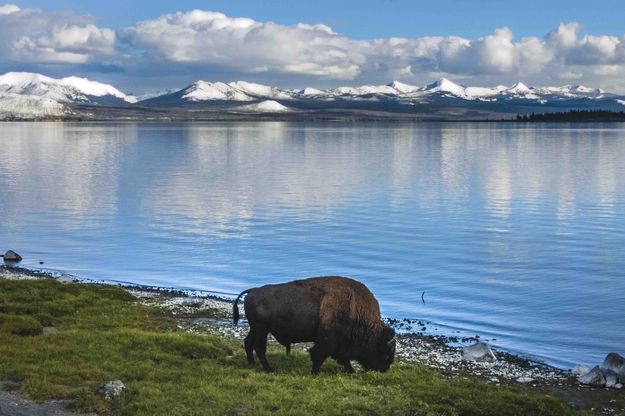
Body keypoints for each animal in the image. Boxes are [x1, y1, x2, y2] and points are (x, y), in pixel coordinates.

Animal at [234, 276, 394, 374]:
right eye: (384, 351)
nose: (385, 368)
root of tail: (252, 291)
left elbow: (342, 358)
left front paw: (351, 371)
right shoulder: (328, 340)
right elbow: (319, 354)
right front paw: (315, 372)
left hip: (256, 329)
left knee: (248, 342)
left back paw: (252, 364)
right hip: (261, 330)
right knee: (259, 348)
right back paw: (269, 369)